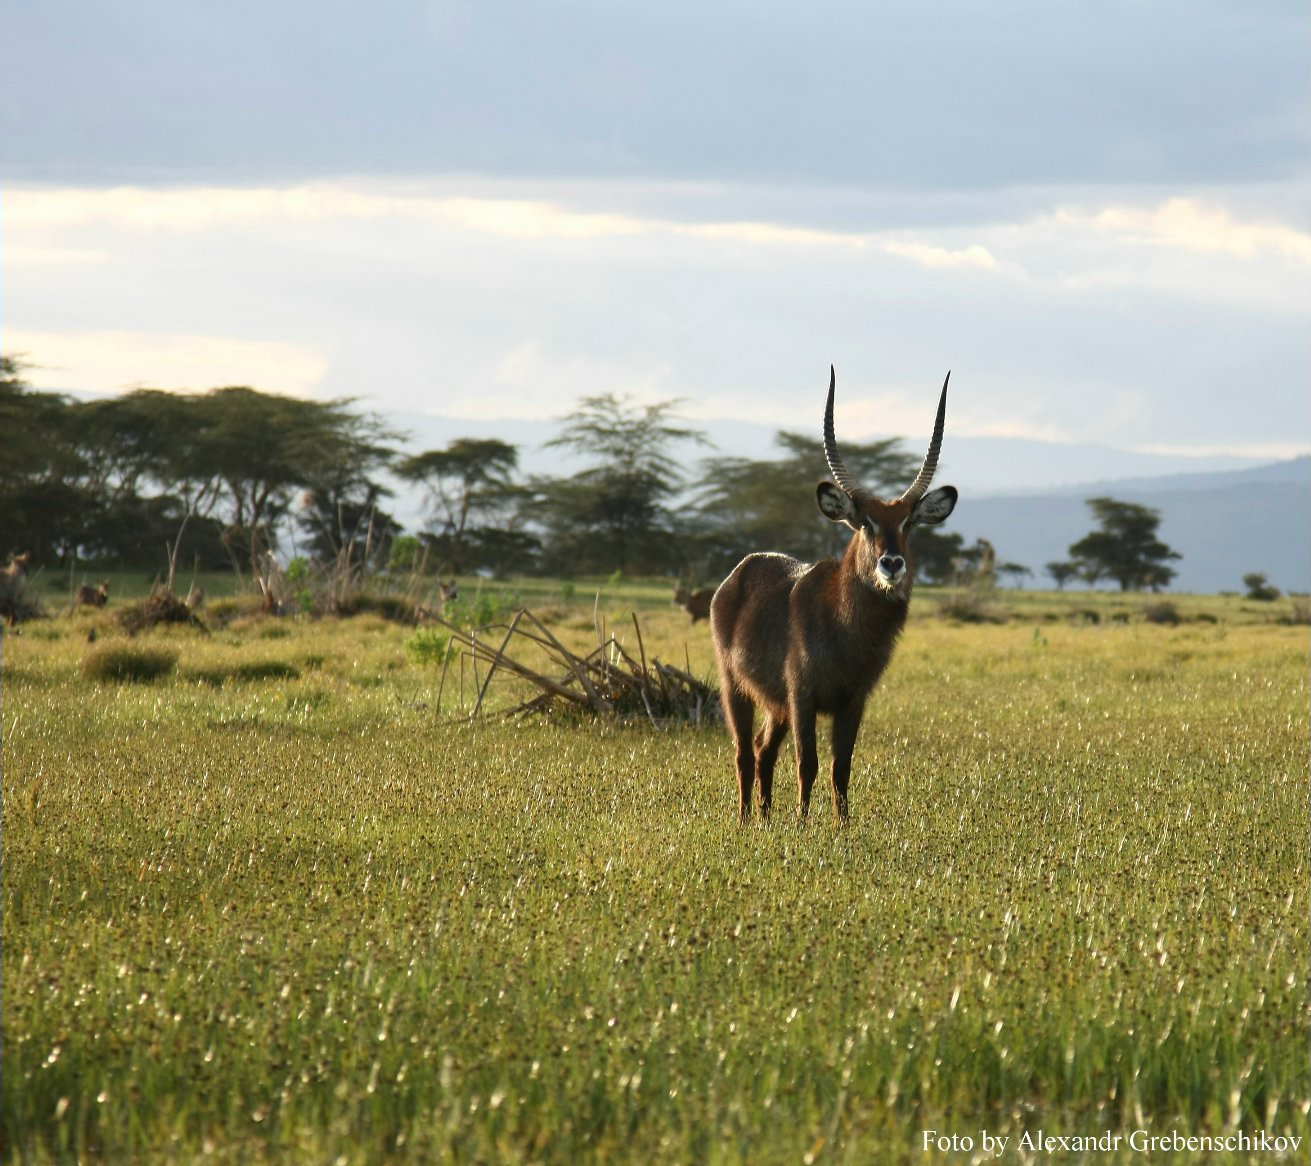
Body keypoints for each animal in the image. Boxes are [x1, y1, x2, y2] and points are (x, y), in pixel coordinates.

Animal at [713, 367, 959, 823]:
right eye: (864, 522)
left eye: (908, 523)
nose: (892, 564)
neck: (847, 628)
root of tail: (743, 567)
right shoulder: (802, 695)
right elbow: (807, 762)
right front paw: (803, 824)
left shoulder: (853, 700)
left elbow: (840, 766)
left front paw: (842, 828)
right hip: (734, 685)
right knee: (743, 752)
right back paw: (745, 820)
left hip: (776, 705)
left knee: (763, 748)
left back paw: (765, 820)